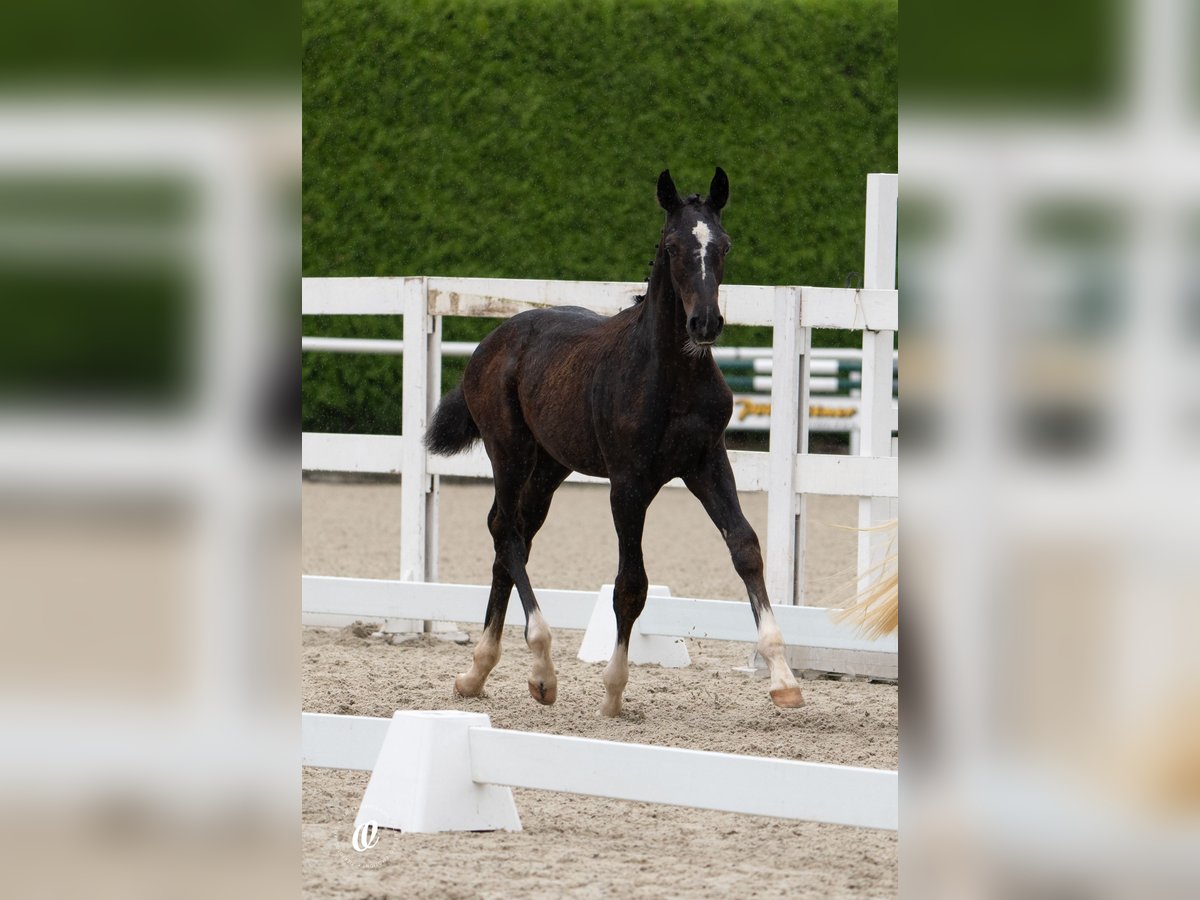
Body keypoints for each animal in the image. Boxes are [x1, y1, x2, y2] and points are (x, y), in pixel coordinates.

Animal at [424, 170, 806, 720]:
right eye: (672, 246)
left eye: (725, 245)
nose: (705, 324)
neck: (671, 375)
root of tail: (492, 341)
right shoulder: (628, 483)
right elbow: (631, 585)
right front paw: (613, 691)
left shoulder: (707, 462)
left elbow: (746, 548)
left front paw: (783, 679)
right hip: (509, 450)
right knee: (506, 531)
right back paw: (541, 669)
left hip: (550, 467)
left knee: (514, 534)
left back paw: (478, 673)